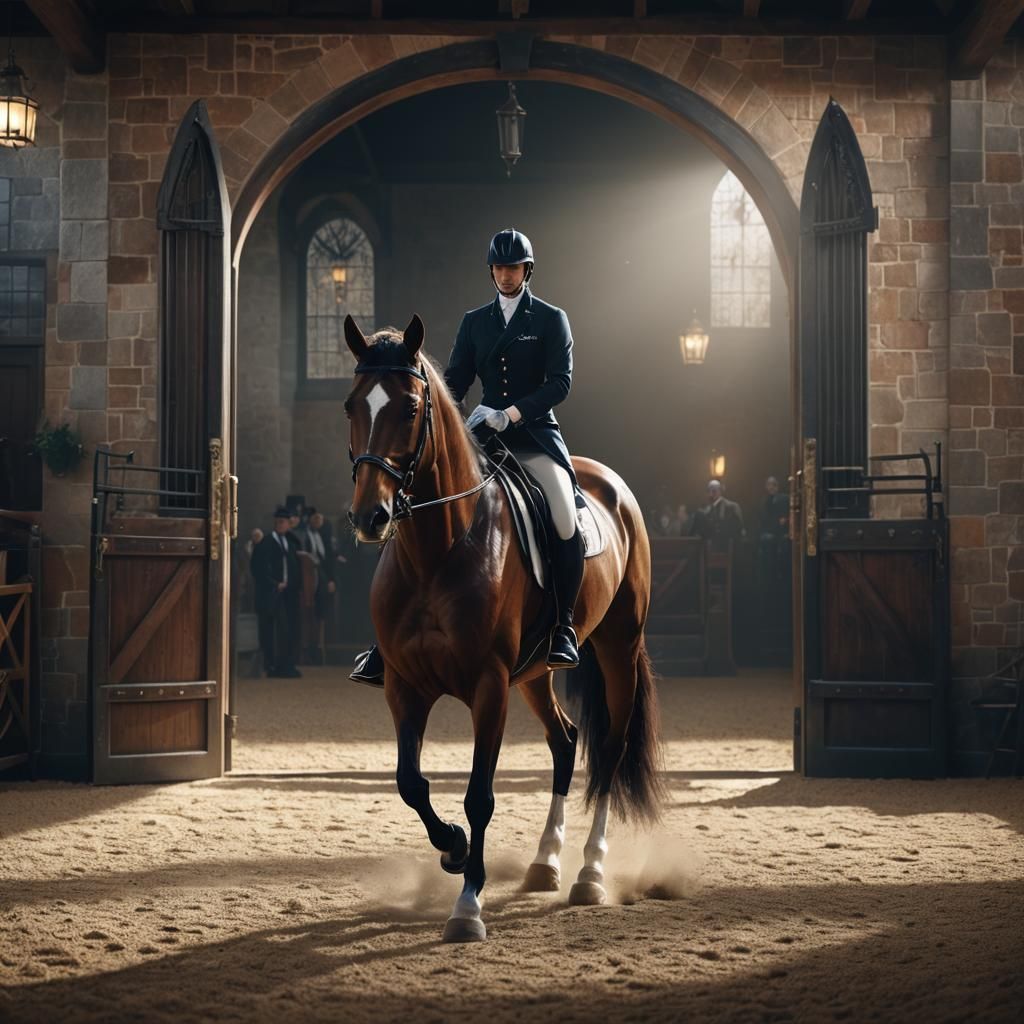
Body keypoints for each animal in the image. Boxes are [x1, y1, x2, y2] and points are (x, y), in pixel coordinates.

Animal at [343, 313, 662, 943]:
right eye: (351, 406)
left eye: (410, 408)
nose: (372, 517)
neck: (437, 551)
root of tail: (612, 483)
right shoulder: (403, 687)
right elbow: (410, 782)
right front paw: (453, 850)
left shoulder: (489, 686)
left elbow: (479, 796)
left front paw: (468, 904)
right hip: (536, 673)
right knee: (566, 742)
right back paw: (545, 863)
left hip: (617, 647)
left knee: (608, 752)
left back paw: (589, 873)